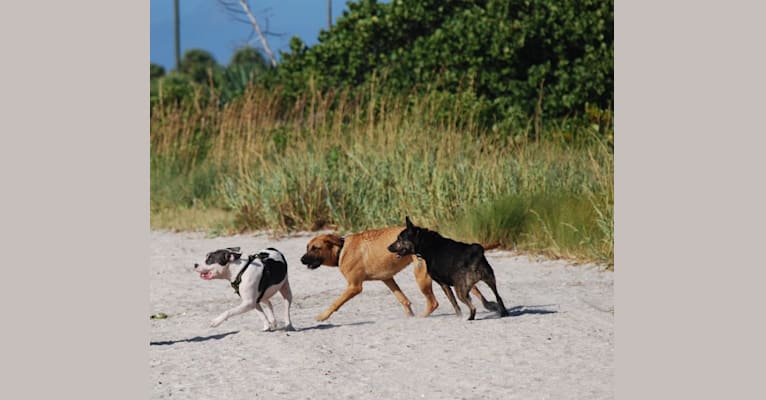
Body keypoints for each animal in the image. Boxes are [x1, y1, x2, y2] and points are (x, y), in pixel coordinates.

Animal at [300, 227, 498, 320]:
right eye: (307, 247)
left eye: (315, 248)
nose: (301, 260)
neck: (341, 249)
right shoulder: (388, 279)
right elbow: (403, 299)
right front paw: (409, 316)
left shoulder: (354, 287)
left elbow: (335, 303)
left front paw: (322, 316)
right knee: (475, 290)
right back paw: (489, 305)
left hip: (421, 278)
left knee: (433, 302)